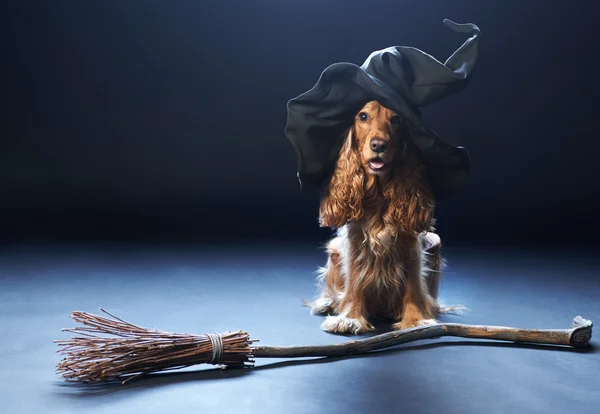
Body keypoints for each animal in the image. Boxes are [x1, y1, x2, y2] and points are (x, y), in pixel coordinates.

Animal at [310, 101, 446, 336]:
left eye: (397, 119)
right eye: (363, 116)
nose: (379, 145)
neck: (379, 193)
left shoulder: (411, 244)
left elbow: (413, 285)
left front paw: (416, 320)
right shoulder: (354, 240)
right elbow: (354, 279)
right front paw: (349, 318)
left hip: (434, 242)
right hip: (334, 248)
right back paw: (328, 302)